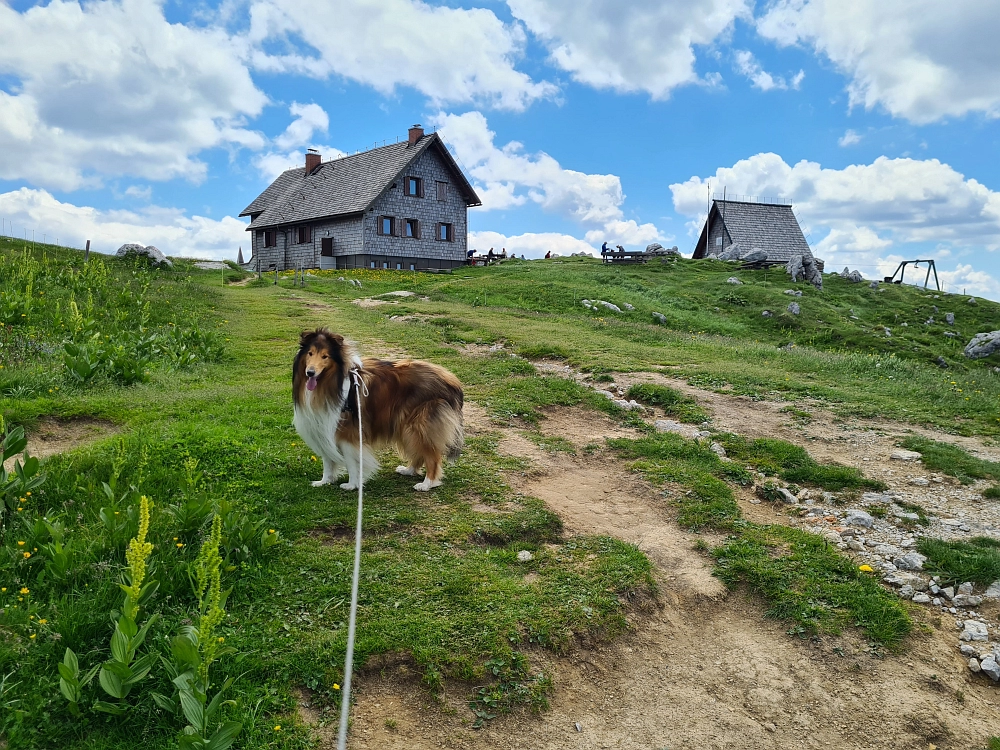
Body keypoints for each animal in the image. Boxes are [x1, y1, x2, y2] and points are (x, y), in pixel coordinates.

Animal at [288, 328, 462, 494]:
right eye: (310, 353)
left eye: (325, 356)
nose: (310, 372)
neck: (331, 383)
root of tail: (452, 380)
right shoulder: (323, 426)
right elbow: (328, 460)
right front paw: (325, 481)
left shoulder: (349, 433)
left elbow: (351, 462)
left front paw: (352, 485)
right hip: (405, 426)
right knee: (418, 452)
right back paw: (408, 470)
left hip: (419, 426)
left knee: (432, 456)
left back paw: (427, 483)